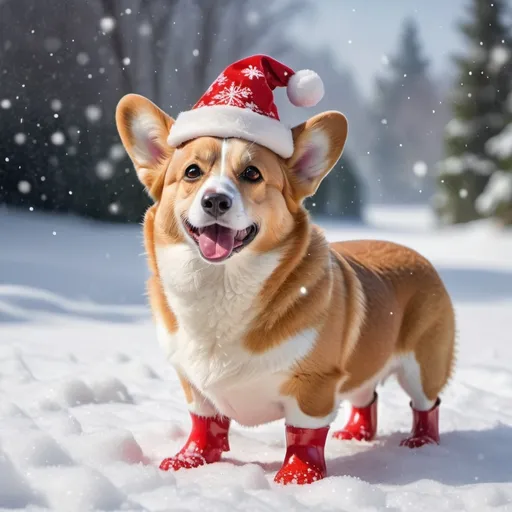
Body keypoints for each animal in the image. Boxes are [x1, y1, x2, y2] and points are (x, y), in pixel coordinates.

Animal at [115, 55, 456, 484]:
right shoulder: (193, 384)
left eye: (252, 174)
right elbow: (205, 423)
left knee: (427, 404)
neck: (221, 287)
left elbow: (304, 434)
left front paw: (298, 476)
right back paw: (356, 434)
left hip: (421, 368)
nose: (215, 201)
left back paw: (420, 442)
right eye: (192, 172)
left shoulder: (314, 385)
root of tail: (416, 255)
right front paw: (190, 459)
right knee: (367, 396)